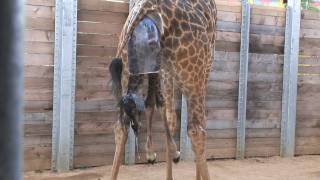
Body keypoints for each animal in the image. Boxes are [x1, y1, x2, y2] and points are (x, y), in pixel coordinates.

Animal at [109, 0, 218, 179]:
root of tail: (146, 9)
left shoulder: (163, 70)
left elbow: (163, 111)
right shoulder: (207, 63)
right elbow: (200, 121)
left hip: (128, 68)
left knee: (121, 126)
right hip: (194, 71)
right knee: (196, 129)